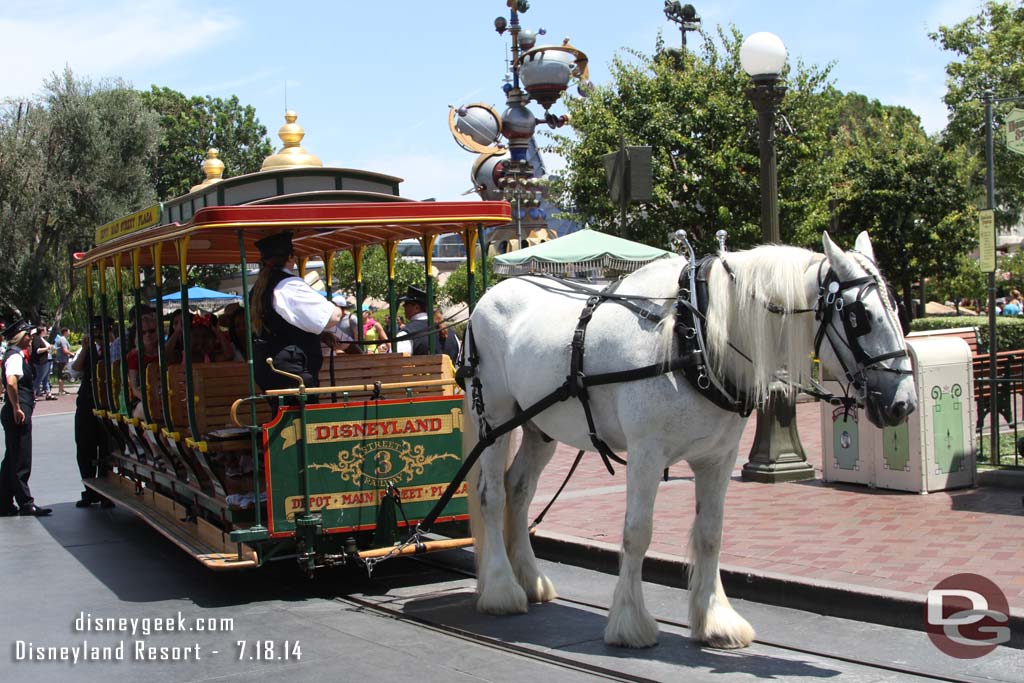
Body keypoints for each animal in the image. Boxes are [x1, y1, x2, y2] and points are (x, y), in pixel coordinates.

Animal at [464, 232, 921, 651]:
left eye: (898, 309)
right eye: (861, 316)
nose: (903, 404)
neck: (693, 339)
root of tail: (488, 297)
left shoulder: (718, 458)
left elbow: (710, 533)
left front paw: (715, 621)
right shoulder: (646, 453)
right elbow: (637, 532)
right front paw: (630, 624)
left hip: (539, 427)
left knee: (519, 490)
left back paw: (530, 579)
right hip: (496, 419)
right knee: (492, 495)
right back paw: (502, 590)